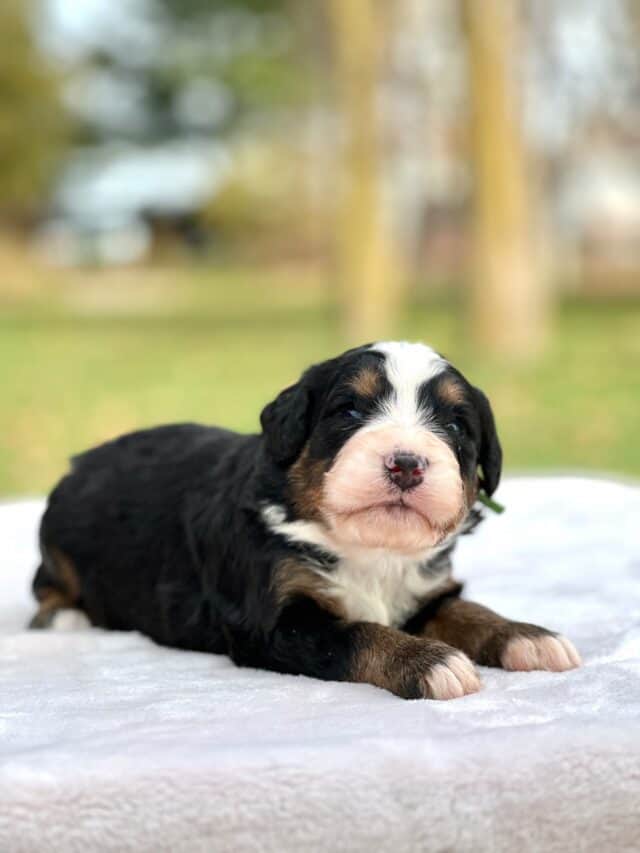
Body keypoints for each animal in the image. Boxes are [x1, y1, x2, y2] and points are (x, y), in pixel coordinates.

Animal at [30, 340, 580, 700]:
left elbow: (469, 611)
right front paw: (432, 662)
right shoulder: (276, 621)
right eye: (350, 411)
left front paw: (528, 637)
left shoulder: (425, 592)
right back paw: (64, 617)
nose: (406, 463)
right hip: (55, 544)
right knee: (46, 588)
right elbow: (359, 634)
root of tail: (82, 461)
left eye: (454, 424)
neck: (370, 550)